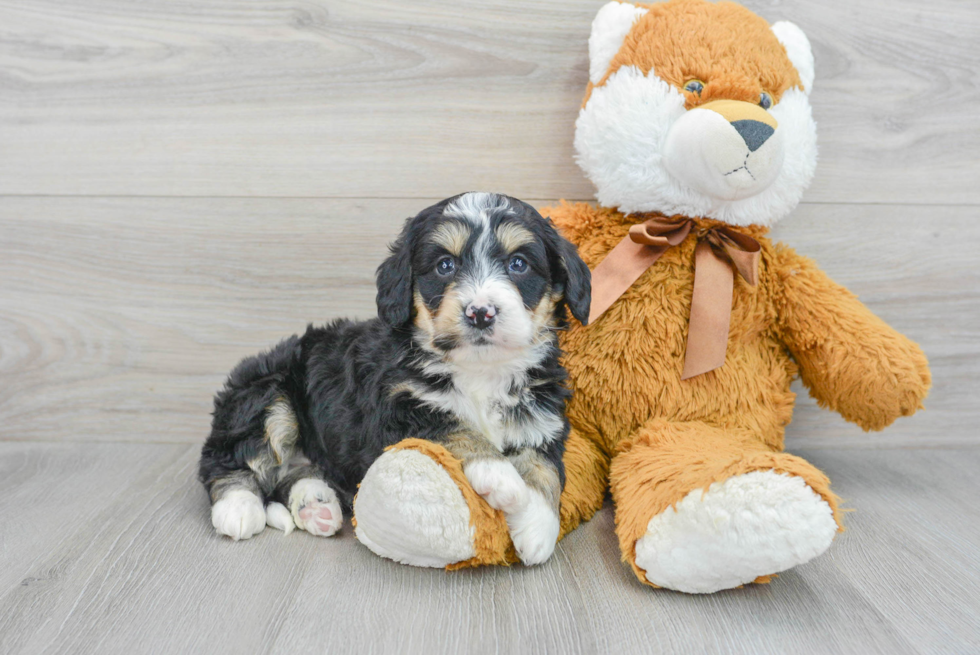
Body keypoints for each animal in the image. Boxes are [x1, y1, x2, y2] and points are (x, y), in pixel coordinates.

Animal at [199, 192, 588, 568]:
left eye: (518, 264)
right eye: (445, 266)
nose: (480, 312)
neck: (479, 368)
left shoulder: (542, 418)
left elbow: (546, 467)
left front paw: (538, 525)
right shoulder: (397, 410)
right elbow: (454, 426)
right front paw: (499, 474)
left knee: (295, 472)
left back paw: (316, 507)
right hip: (266, 393)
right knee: (227, 457)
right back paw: (238, 507)